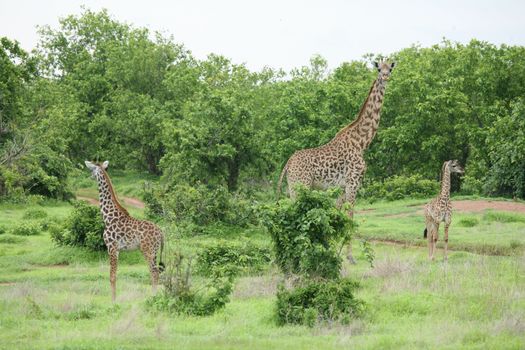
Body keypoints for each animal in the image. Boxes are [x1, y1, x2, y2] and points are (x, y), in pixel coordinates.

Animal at [84, 161, 164, 300]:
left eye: (92, 170)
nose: (90, 177)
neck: (108, 216)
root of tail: (161, 233)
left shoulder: (112, 247)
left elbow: (112, 276)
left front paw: (113, 300)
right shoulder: (117, 250)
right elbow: (114, 275)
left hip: (148, 250)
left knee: (154, 272)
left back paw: (152, 297)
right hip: (154, 251)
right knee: (156, 272)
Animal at [276, 60, 396, 262]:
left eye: (391, 68)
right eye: (379, 69)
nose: (385, 77)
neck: (361, 142)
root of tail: (288, 163)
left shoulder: (341, 186)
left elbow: (336, 213)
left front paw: (331, 248)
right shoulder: (353, 181)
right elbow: (350, 214)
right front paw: (350, 256)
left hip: (294, 187)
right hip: (301, 186)